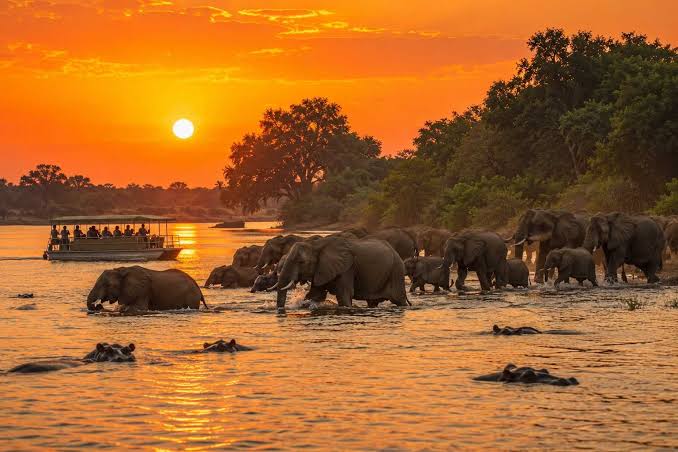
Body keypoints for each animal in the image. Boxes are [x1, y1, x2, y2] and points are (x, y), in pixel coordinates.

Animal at [273, 236, 410, 309]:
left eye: (301, 262)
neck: (316, 246)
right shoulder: (322, 269)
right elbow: (316, 295)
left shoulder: (347, 268)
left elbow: (344, 295)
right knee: (372, 302)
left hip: (396, 270)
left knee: (399, 299)